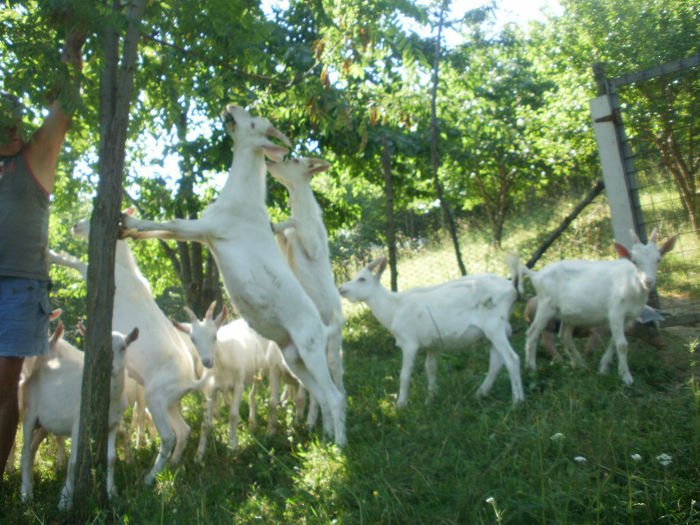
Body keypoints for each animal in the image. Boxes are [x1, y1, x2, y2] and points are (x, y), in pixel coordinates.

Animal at [19, 328, 138, 508]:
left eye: (123, 347)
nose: (110, 367)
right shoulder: (78, 424)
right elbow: (74, 462)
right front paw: (65, 500)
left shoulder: (112, 424)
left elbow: (111, 458)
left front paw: (111, 492)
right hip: (29, 413)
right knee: (26, 449)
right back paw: (25, 493)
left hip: (45, 423)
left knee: (32, 448)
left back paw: (29, 485)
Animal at [50, 222, 209, 484]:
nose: (75, 226)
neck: (125, 267)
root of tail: (189, 381)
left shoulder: (97, 276)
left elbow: (76, 263)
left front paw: (51, 253)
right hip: (168, 403)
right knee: (184, 430)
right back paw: (174, 464)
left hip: (156, 399)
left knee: (168, 437)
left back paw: (150, 477)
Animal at [124, 105, 348, 446]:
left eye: (254, 123)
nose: (230, 109)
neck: (242, 196)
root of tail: (323, 328)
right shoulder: (205, 234)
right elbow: (165, 231)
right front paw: (129, 232)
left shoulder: (207, 228)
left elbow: (169, 224)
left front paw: (126, 222)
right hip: (294, 358)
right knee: (321, 394)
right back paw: (323, 434)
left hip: (311, 350)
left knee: (334, 395)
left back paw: (340, 444)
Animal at [336, 258, 524, 406]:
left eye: (362, 279)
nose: (341, 289)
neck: (394, 307)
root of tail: (511, 287)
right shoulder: (431, 345)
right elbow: (430, 368)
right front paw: (431, 398)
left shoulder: (409, 343)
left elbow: (405, 374)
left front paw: (401, 405)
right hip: (493, 333)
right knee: (496, 362)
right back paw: (480, 393)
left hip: (495, 327)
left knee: (512, 358)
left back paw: (517, 401)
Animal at [516, 227, 676, 382]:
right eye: (634, 261)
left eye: (658, 260)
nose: (648, 281)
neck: (632, 284)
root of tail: (536, 275)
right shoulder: (615, 312)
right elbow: (622, 344)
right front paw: (626, 377)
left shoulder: (628, 317)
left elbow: (614, 342)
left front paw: (603, 369)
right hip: (546, 305)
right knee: (532, 333)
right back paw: (532, 370)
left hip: (568, 314)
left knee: (565, 336)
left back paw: (581, 365)